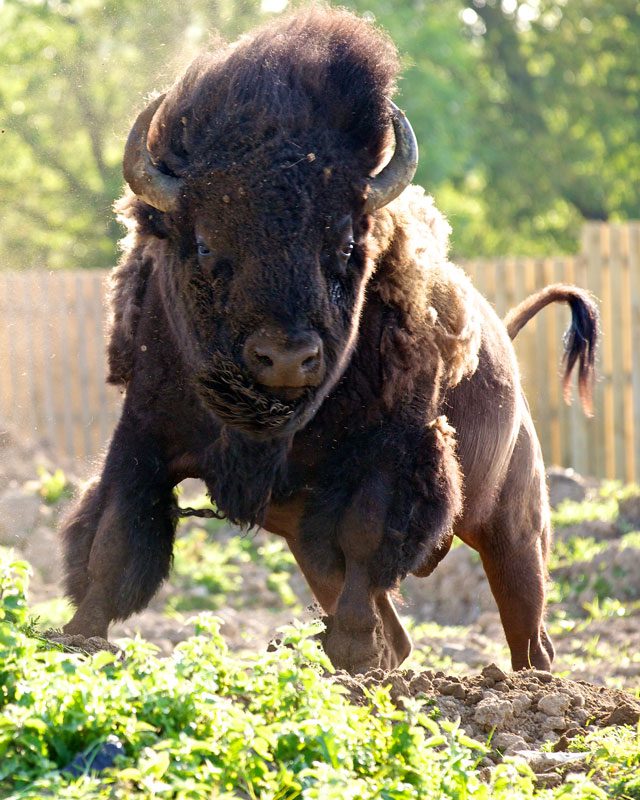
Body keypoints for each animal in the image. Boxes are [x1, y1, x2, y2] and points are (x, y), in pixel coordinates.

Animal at [58, 9, 596, 676]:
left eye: (344, 243)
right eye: (204, 243)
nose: (287, 356)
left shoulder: (388, 454)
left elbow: (368, 534)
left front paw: (352, 644)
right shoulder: (145, 435)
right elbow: (114, 536)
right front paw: (77, 636)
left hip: (512, 525)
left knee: (527, 628)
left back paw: (518, 682)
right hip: (305, 533)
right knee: (399, 627)